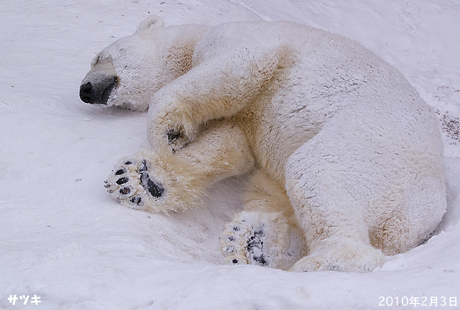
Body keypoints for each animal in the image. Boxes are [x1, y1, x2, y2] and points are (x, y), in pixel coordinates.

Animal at [81, 17, 448, 272]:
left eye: (99, 56)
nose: (85, 90)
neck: (194, 37)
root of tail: (428, 211)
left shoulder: (244, 40)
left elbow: (236, 71)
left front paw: (166, 133)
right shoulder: (245, 120)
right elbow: (230, 146)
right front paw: (139, 180)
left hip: (373, 145)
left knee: (314, 169)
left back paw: (327, 259)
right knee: (276, 193)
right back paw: (252, 242)